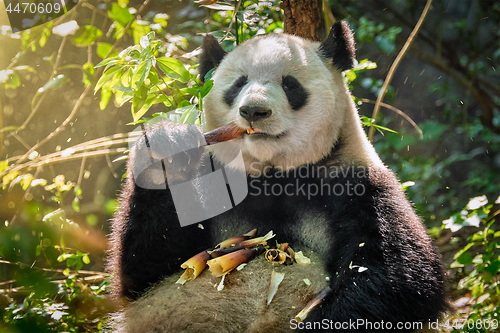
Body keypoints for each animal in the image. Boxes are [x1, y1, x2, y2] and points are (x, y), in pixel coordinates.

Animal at [108, 22, 446, 330]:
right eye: (238, 84)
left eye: (290, 84)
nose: (253, 111)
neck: (273, 174)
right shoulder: (217, 181)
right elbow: (146, 270)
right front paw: (168, 150)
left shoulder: (357, 184)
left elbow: (395, 276)